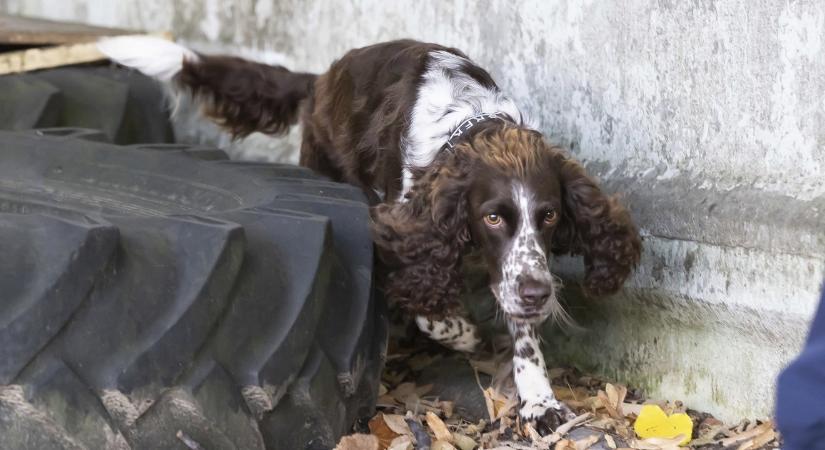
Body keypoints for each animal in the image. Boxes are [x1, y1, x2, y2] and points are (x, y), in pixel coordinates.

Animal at [100, 37, 644, 430]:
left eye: (550, 216)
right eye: (492, 217)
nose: (538, 293)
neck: (469, 126)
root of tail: (322, 79)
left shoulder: (517, 267)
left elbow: (524, 333)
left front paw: (539, 400)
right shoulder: (404, 228)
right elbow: (428, 304)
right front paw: (462, 332)